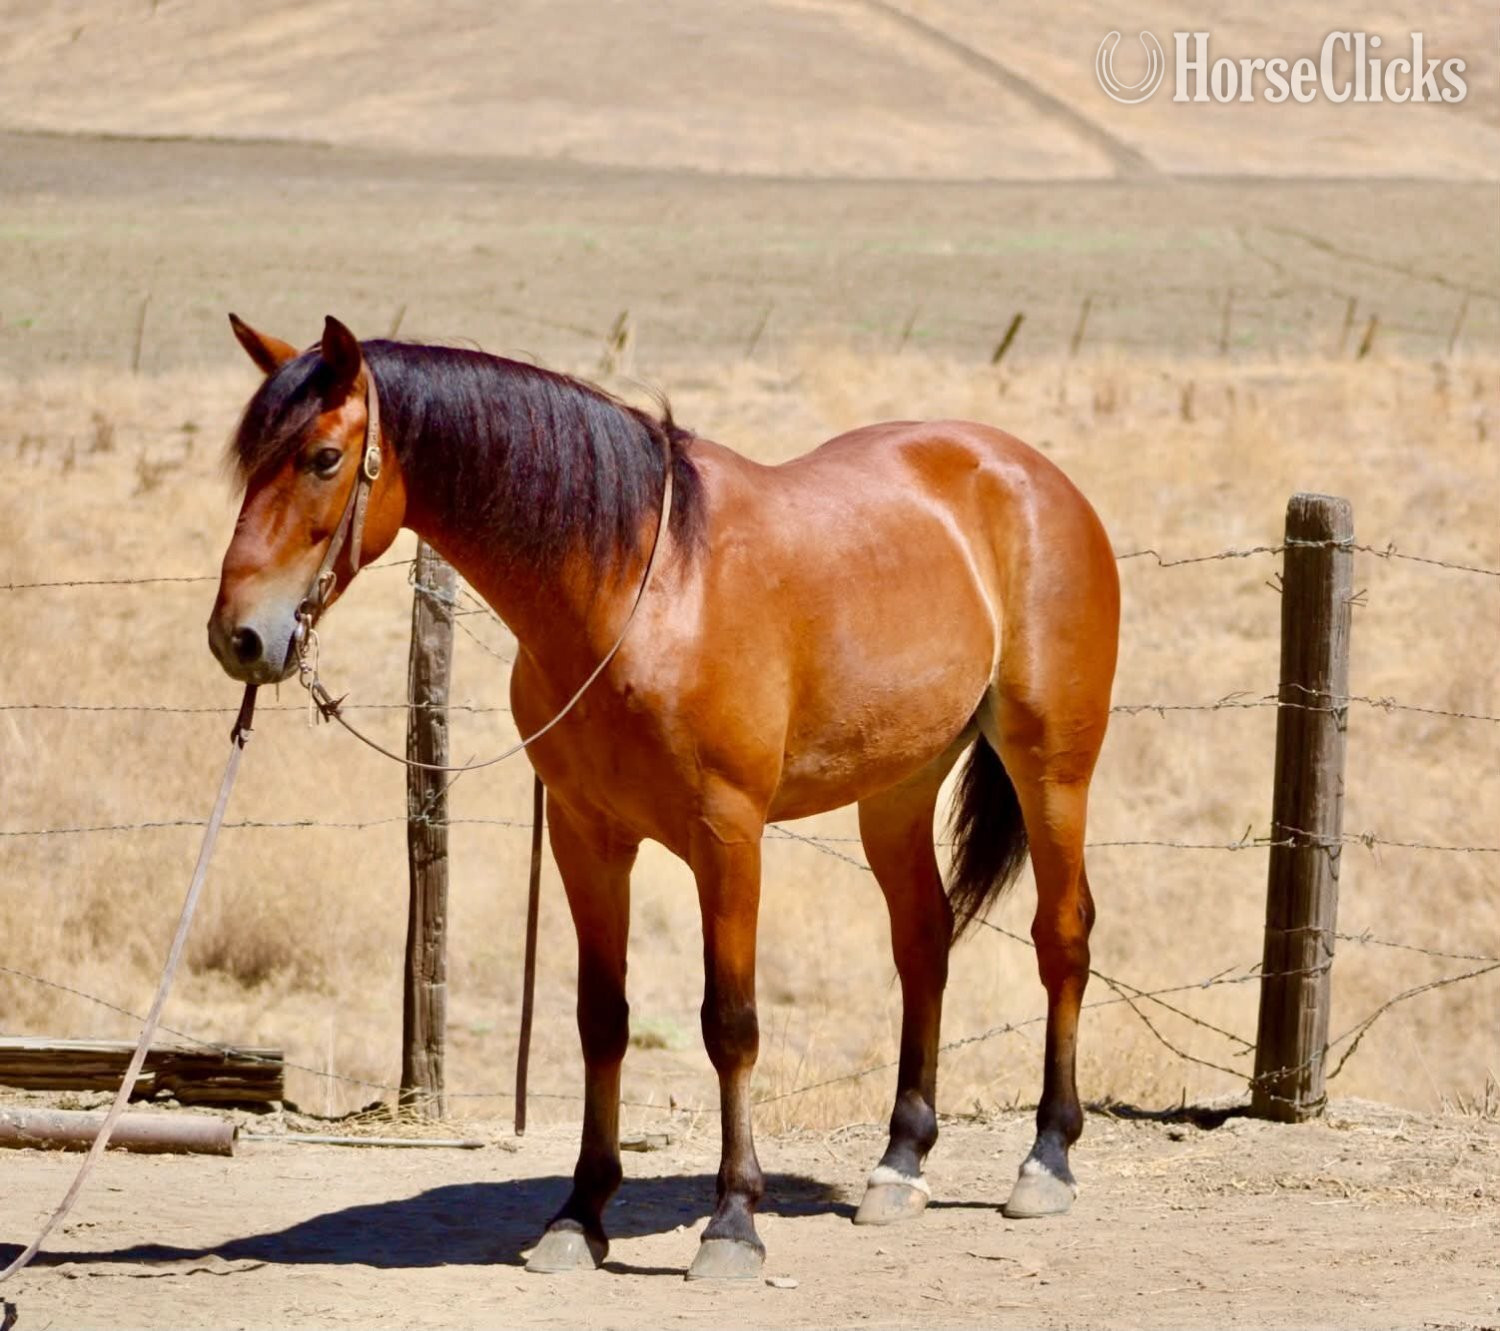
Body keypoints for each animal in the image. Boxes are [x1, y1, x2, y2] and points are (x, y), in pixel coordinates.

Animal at [208, 315, 1120, 1281]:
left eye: (323, 457)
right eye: (250, 462)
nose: (239, 636)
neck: (638, 596)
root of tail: (1030, 473)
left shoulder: (728, 836)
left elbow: (731, 1024)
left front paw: (733, 1220)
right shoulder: (587, 836)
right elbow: (600, 1019)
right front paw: (579, 1214)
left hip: (1052, 769)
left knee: (1062, 937)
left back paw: (1046, 1160)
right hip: (898, 788)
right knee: (924, 943)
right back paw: (899, 1164)